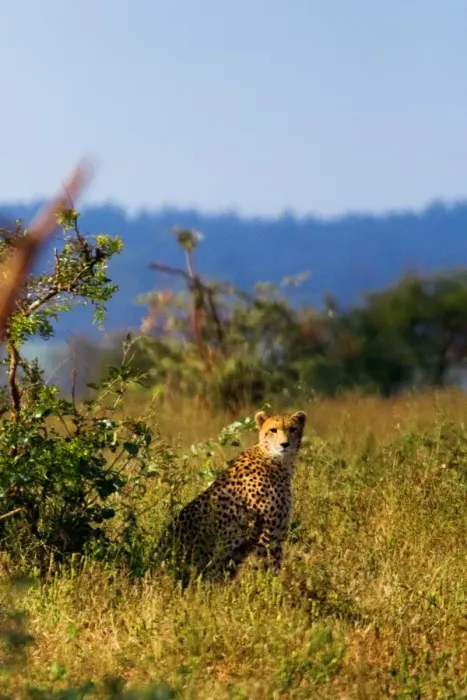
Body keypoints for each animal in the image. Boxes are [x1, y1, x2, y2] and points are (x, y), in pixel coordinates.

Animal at [158, 409, 307, 583]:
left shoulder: (274, 533)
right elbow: (267, 567)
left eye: (293, 429)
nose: (285, 444)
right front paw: (268, 586)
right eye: (273, 430)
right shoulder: (267, 535)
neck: (276, 460)